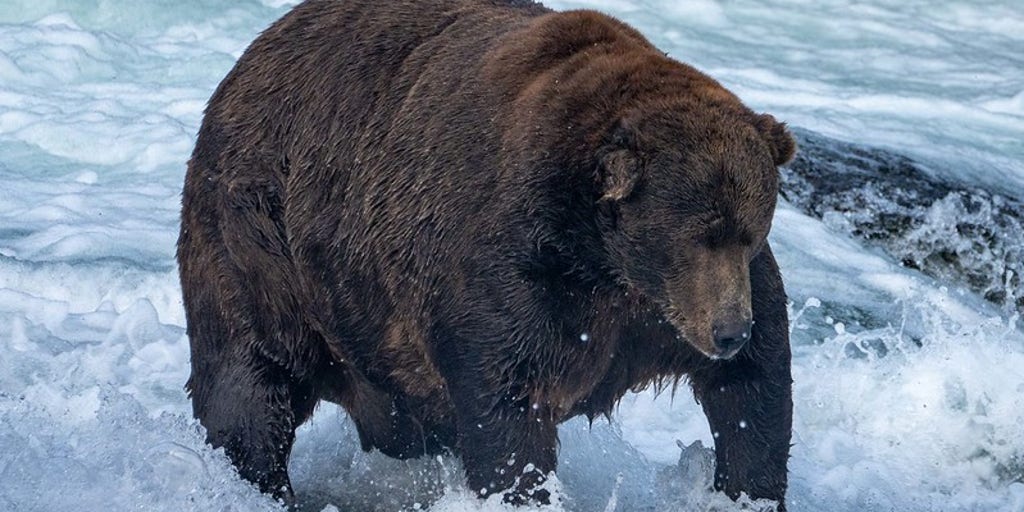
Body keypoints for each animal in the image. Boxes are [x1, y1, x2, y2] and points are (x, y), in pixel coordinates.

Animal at [178, 1, 790, 507]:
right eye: (697, 235)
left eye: (749, 230)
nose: (729, 331)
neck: (604, 259)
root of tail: (250, 56)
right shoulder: (516, 272)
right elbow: (508, 401)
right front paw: (523, 486)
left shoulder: (660, 311)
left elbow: (755, 388)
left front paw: (748, 486)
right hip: (262, 242)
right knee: (251, 380)